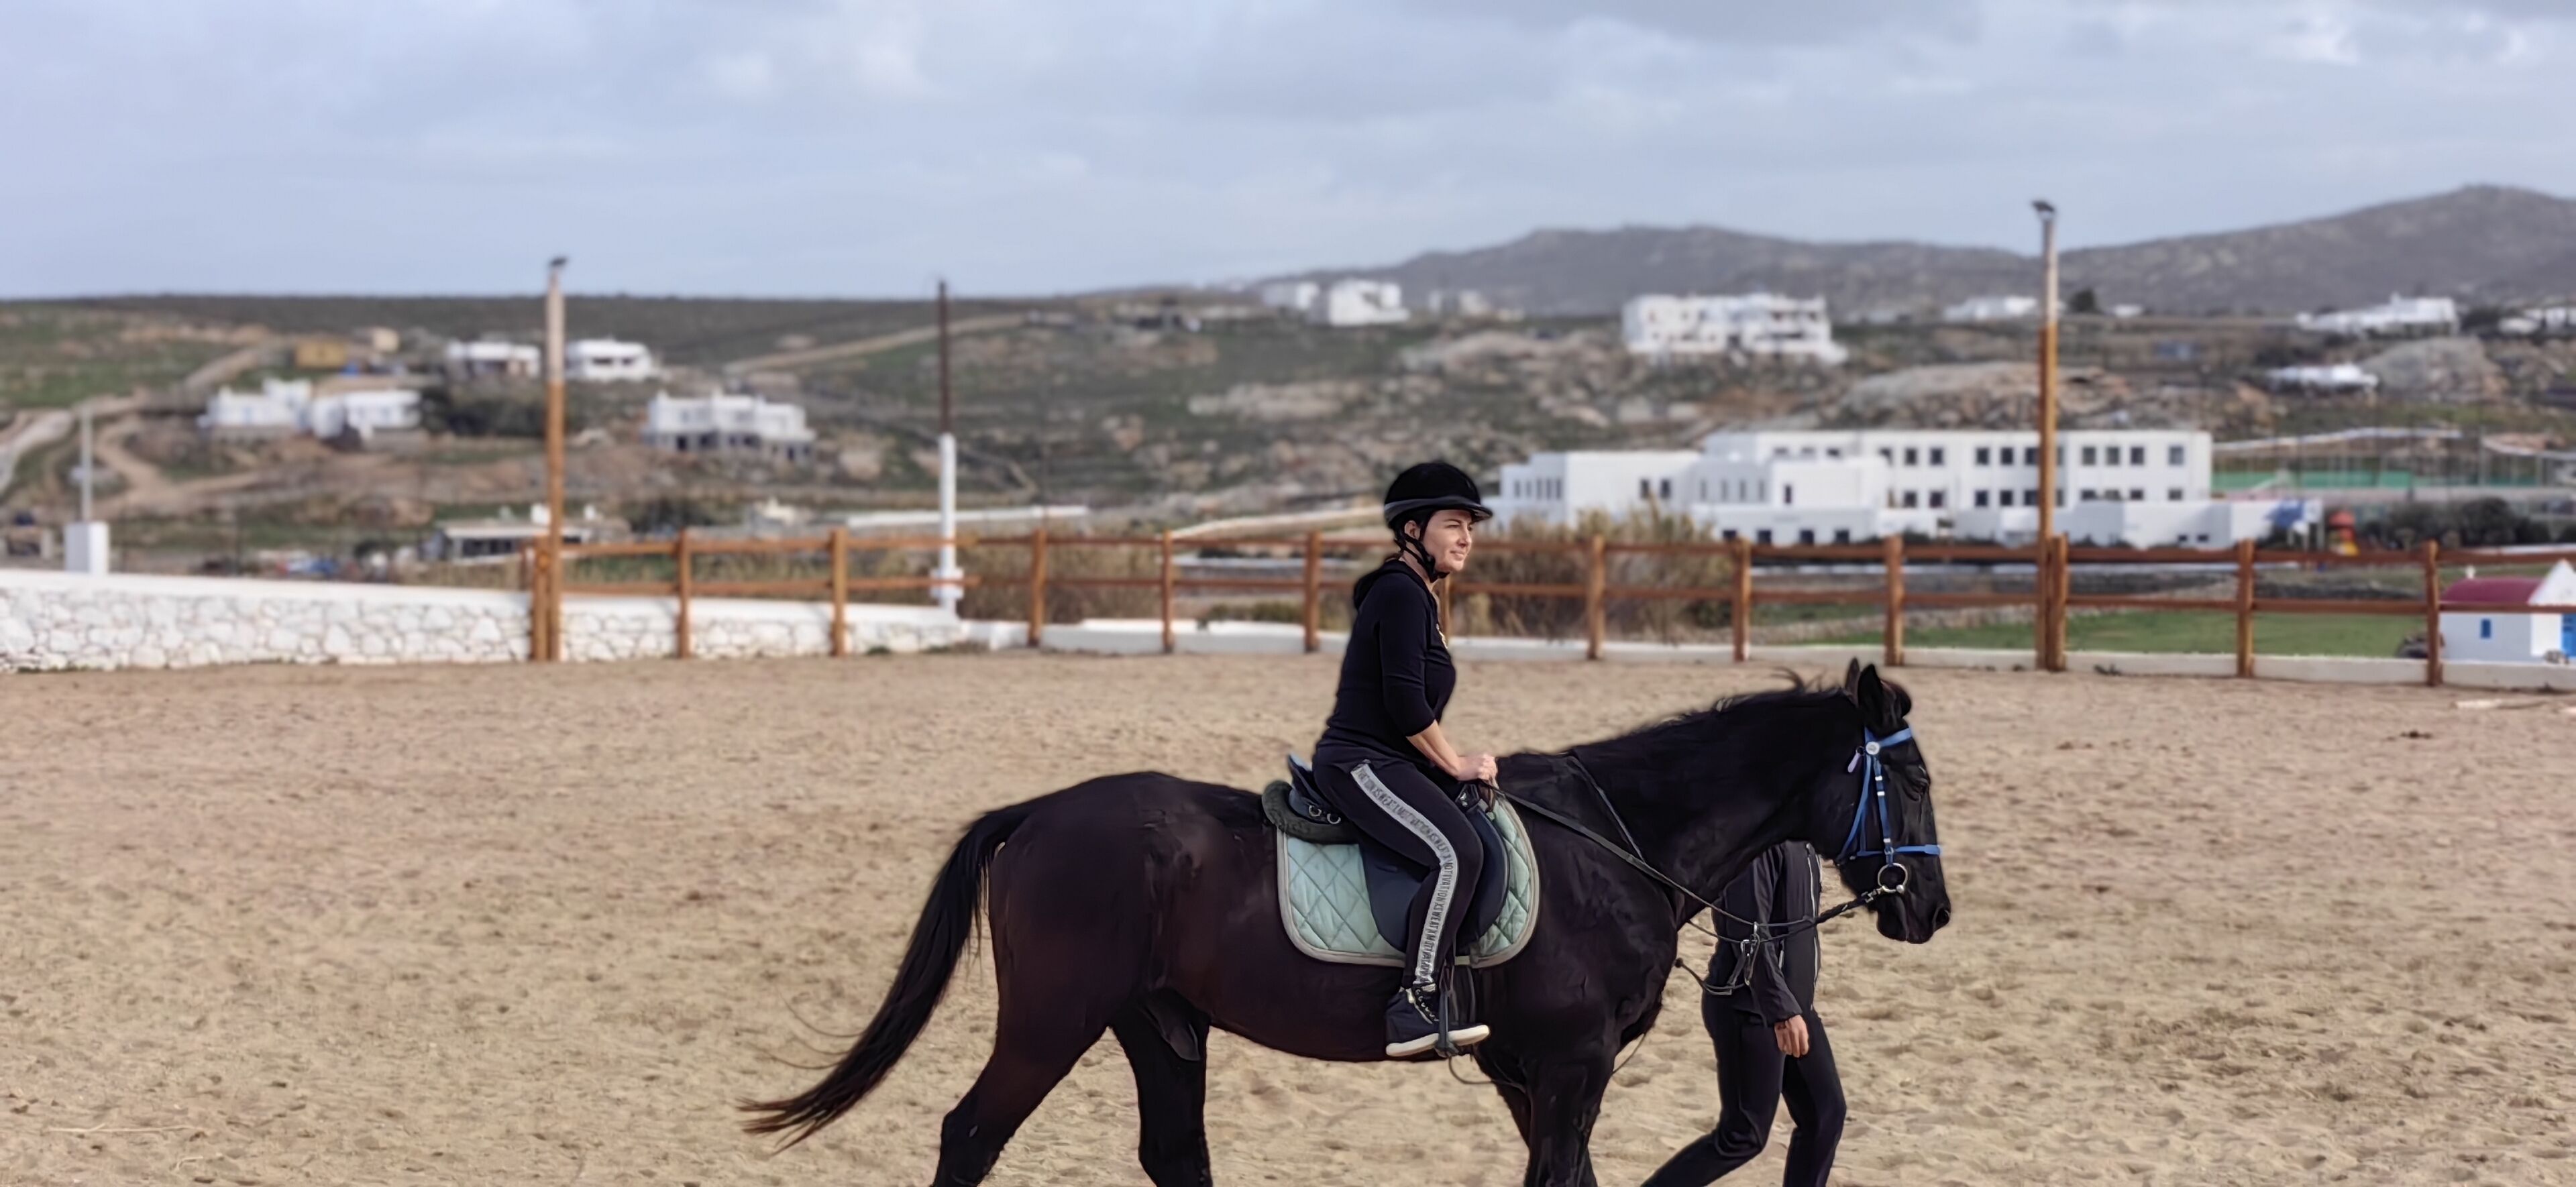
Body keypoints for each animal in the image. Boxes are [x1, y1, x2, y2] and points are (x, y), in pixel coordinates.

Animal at [742, 661, 1950, 1186]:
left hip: (1158, 1022)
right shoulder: (1572, 1063)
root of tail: (1039, 812)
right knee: (970, 1134)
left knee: (1172, 1153)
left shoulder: (1532, 1069)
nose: (1930, 910)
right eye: (1914, 781)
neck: (1618, 840)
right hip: (1053, 1020)